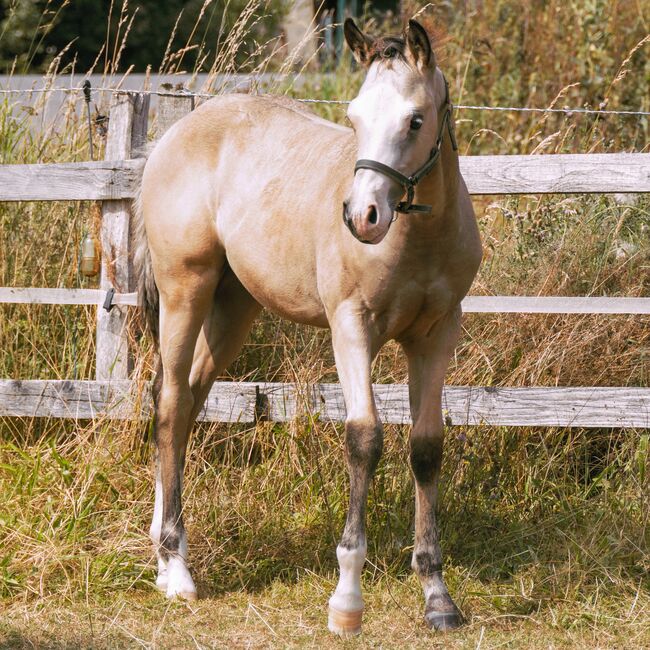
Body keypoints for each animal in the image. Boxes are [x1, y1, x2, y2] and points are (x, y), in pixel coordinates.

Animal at [134, 17, 480, 636]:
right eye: (355, 117)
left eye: (415, 119)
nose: (362, 216)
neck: (417, 240)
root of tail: (170, 138)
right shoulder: (351, 326)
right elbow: (364, 438)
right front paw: (347, 601)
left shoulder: (437, 334)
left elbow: (426, 447)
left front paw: (437, 595)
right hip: (184, 290)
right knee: (171, 403)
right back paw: (177, 570)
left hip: (233, 307)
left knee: (185, 399)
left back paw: (162, 552)